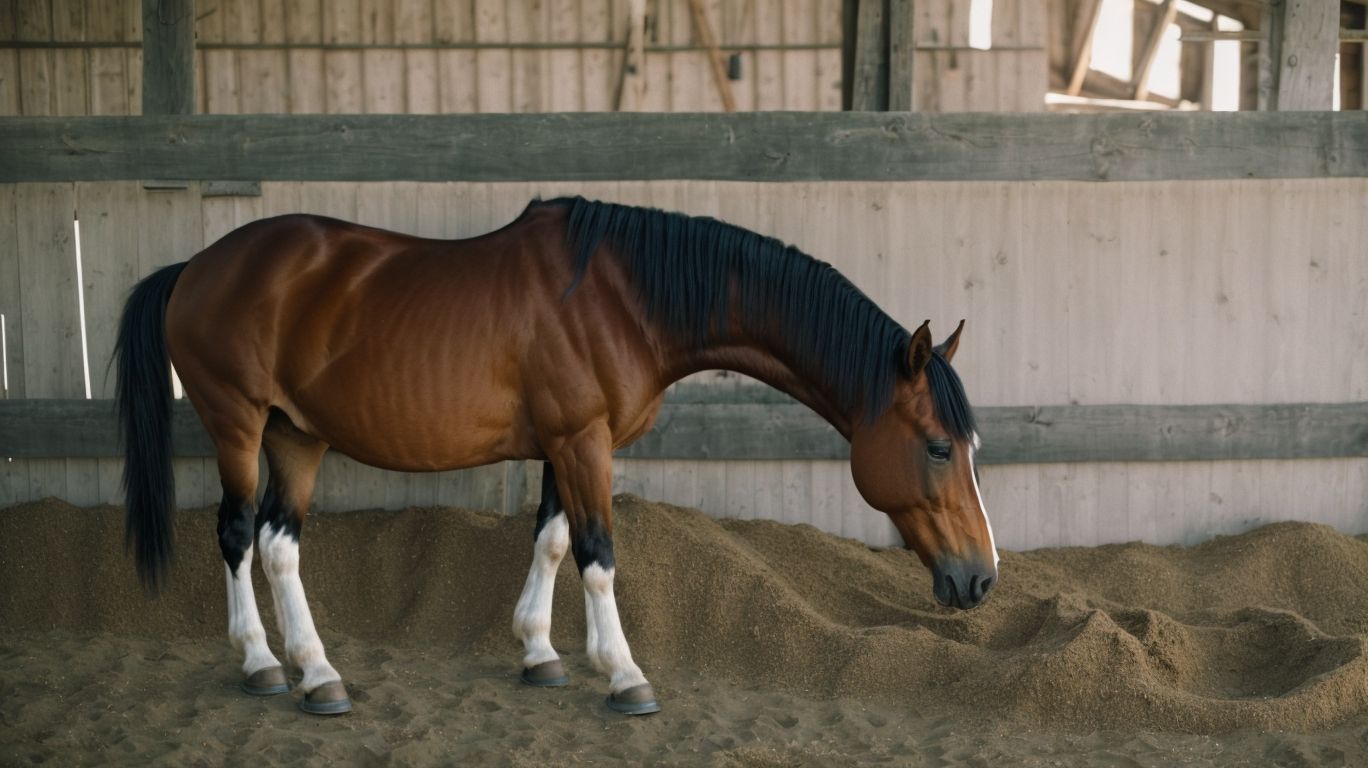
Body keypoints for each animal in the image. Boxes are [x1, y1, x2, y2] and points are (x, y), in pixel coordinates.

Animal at [116, 196, 998, 717]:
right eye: (938, 445)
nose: (982, 579)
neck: (625, 298)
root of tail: (196, 267)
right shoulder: (583, 442)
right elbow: (598, 555)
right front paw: (625, 675)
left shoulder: (560, 446)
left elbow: (549, 540)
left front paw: (539, 653)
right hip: (238, 425)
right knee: (237, 536)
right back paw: (263, 663)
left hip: (297, 434)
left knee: (278, 544)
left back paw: (316, 672)